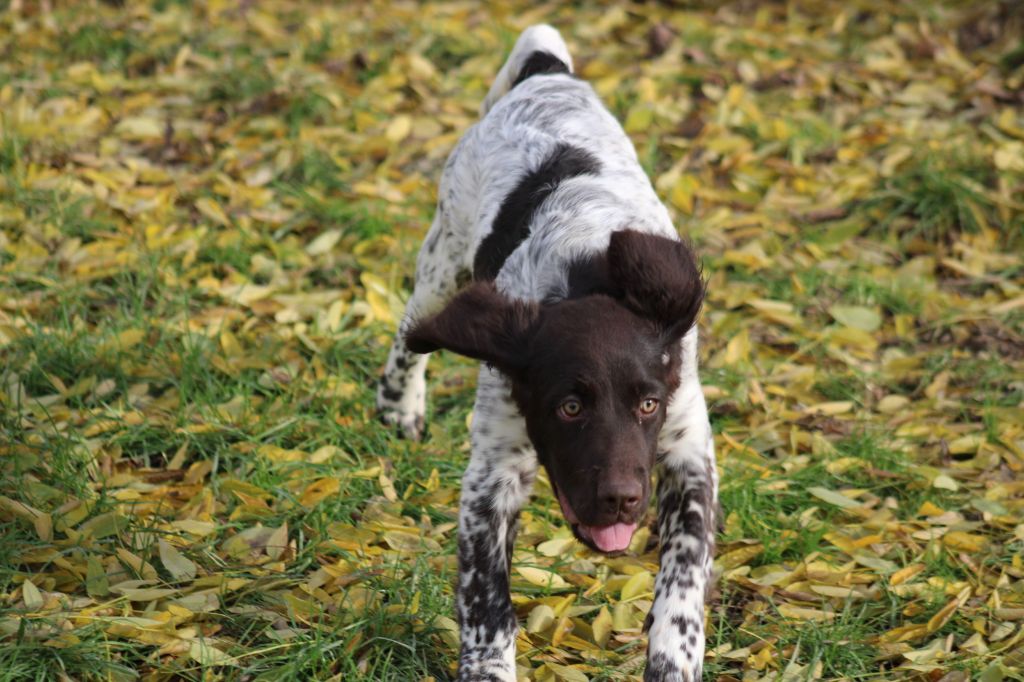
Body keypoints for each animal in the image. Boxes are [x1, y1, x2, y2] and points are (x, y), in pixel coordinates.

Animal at [376, 23, 720, 675]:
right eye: (569, 407)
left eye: (648, 404)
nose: (620, 502)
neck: (586, 272)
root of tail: (548, 72)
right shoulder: (493, 478)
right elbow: (486, 600)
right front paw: (487, 668)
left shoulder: (689, 451)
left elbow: (684, 575)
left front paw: (674, 655)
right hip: (444, 260)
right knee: (412, 332)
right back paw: (398, 406)